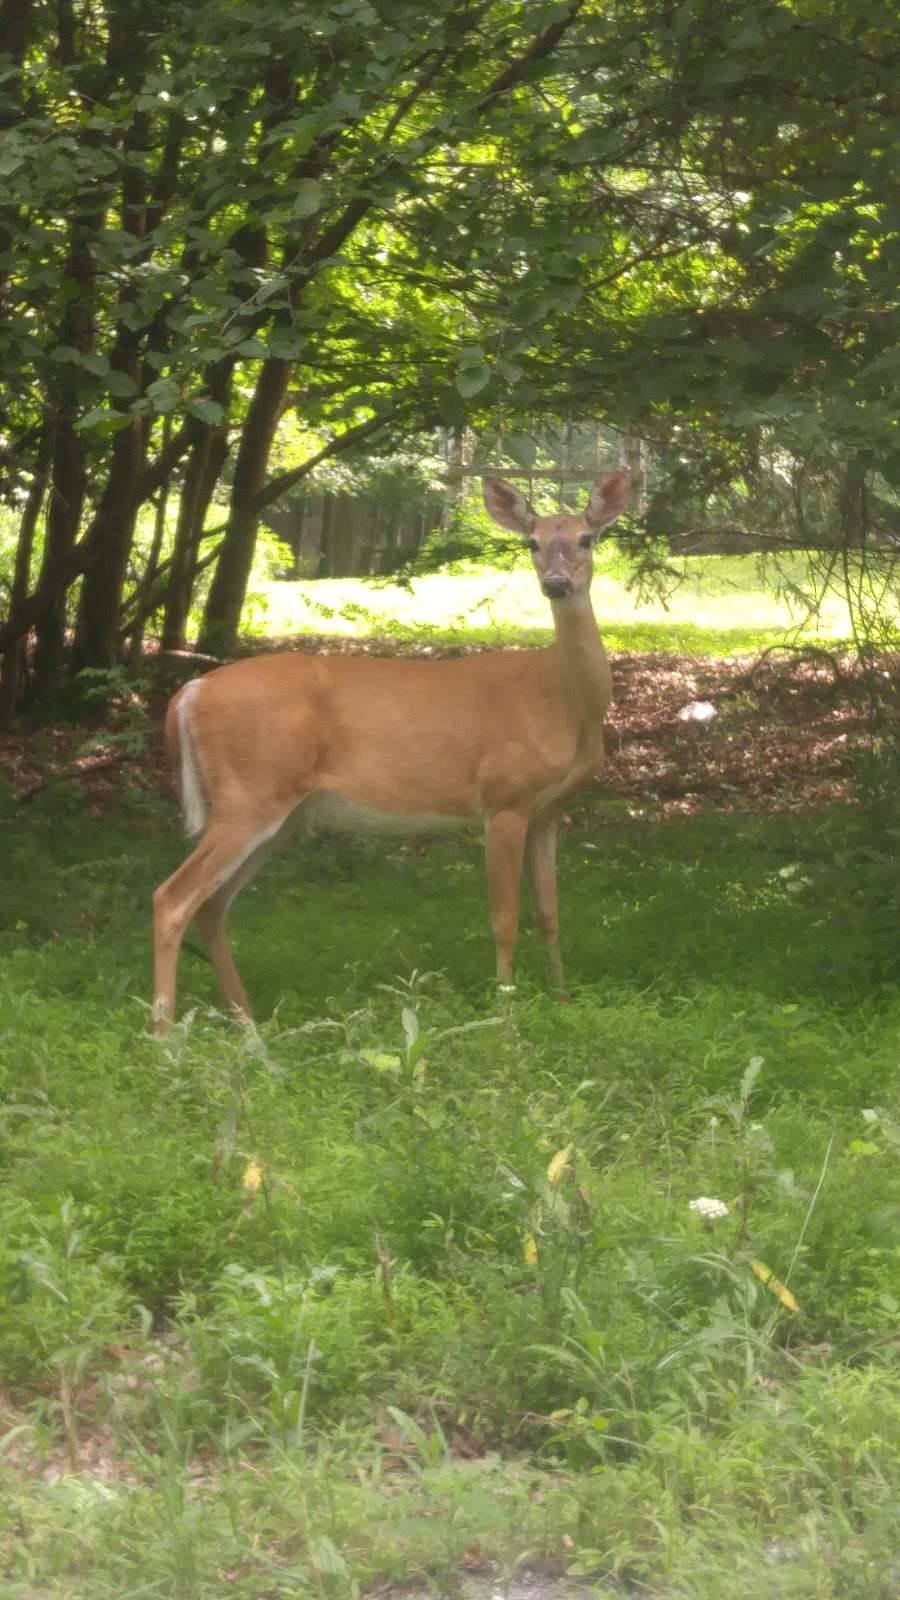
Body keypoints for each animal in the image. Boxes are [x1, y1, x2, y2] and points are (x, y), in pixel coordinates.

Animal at [150, 467, 627, 1030]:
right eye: (531, 542)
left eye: (586, 538)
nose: (556, 583)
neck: (563, 697)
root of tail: (188, 693)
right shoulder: (503, 797)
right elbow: (504, 918)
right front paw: (506, 1019)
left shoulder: (549, 810)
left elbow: (551, 913)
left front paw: (563, 1002)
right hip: (248, 794)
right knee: (172, 898)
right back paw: (166, 1036)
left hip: (277, 814)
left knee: (212, 905)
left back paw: (250, 1027)